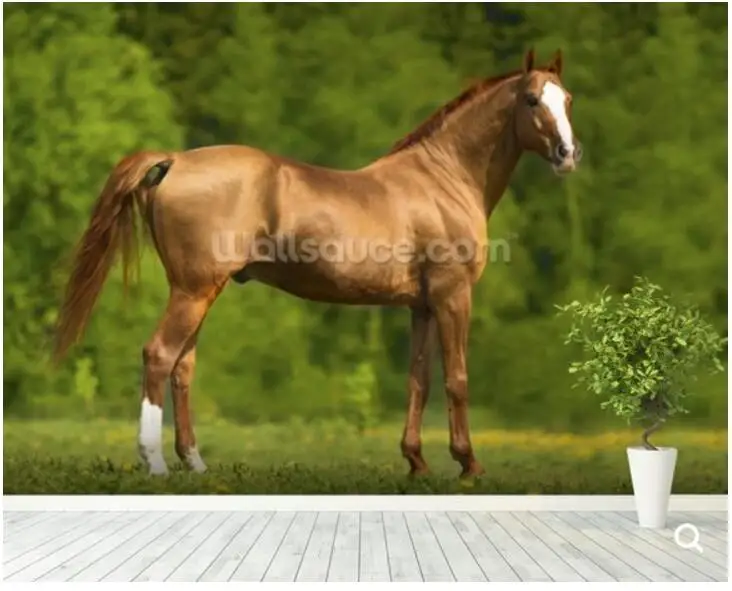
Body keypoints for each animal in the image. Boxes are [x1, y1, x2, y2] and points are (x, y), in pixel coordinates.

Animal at [54, 48, 580, 478]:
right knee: (159, 355)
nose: (567, 154)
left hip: (197, 292)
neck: (442, 179)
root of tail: (177, 161)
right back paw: (156, 462)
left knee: (183, 367)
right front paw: (468, 464)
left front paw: (416, 462)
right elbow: (457, 379)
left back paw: (195, 462)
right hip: (193, 290)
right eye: (531, 100)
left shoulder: (421, 306)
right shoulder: (454, 297)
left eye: (568, 99)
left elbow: (419, 380)